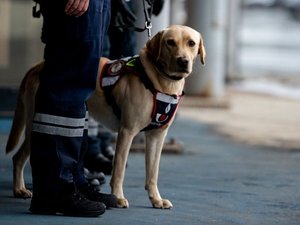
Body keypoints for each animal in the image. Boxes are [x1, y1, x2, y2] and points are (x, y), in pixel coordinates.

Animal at [5, 24, 205, 209]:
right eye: (170, 42)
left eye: (191, 43)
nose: (183, 61)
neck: (160, 81)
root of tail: (37, 66)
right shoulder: (126, 132)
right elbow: (118, 170)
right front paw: (118, 197)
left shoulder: (157, 136)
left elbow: (152, 173)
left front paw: (156, 199)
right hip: (36, 124)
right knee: (19, 157)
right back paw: (21, 189)